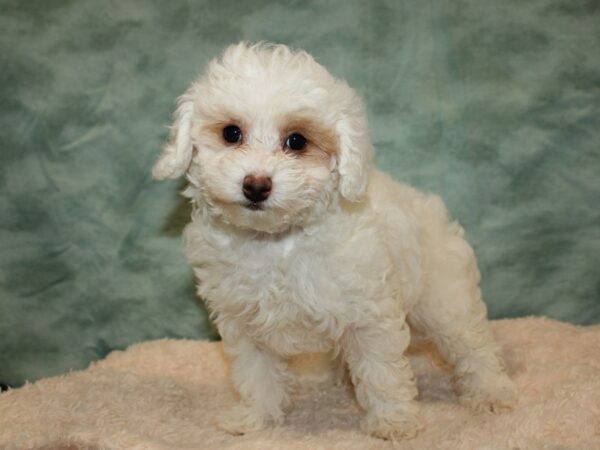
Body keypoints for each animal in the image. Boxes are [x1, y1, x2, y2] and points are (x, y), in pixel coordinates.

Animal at [152, 43, 516, 440]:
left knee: (474, 347)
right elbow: (256, 375)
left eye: (297, 141)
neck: (276, 242)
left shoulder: (370, 315)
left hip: (444, 299)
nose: (256, 185)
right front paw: (255, 419)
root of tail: (433, 210)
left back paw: (491, 392)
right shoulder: (244, 323)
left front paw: (393, 421)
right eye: (231, 133)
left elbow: (382, 372)